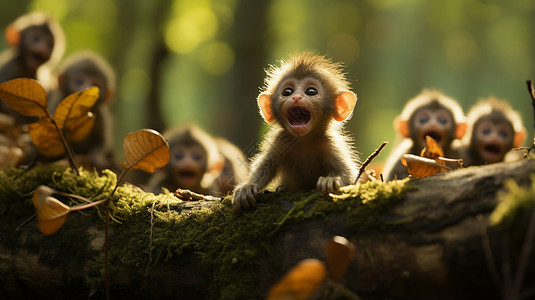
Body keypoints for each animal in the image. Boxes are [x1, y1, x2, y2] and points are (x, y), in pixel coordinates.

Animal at [231, 51, 360, 211]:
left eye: (311, 91)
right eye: (287, 92)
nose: (296, 97)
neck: (304, 140)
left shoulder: (330, 143)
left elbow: (350, 175)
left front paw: (331, 180)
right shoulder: (280, 140)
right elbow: (266, 165)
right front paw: (248, 186)